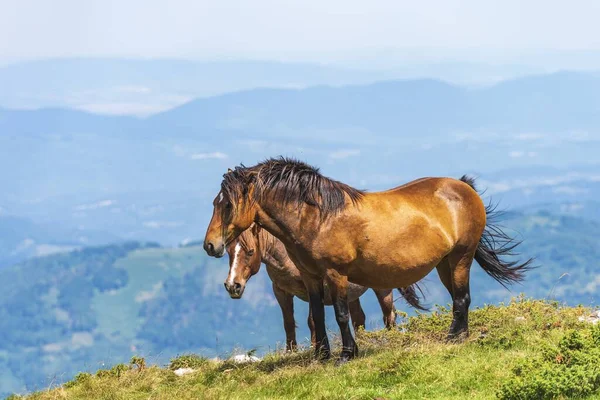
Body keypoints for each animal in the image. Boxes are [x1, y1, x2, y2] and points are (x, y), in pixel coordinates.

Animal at [223, 223, 420, 352]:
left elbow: (312, 320)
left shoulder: (311, 286)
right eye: (229, 252)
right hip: (351, 294)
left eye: (250, 252)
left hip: (381, 288)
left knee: (389, 314)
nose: (233, 286)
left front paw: (315, 349)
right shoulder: (280, 291)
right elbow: (288, 322)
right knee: (359, 319)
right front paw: (291, 352)